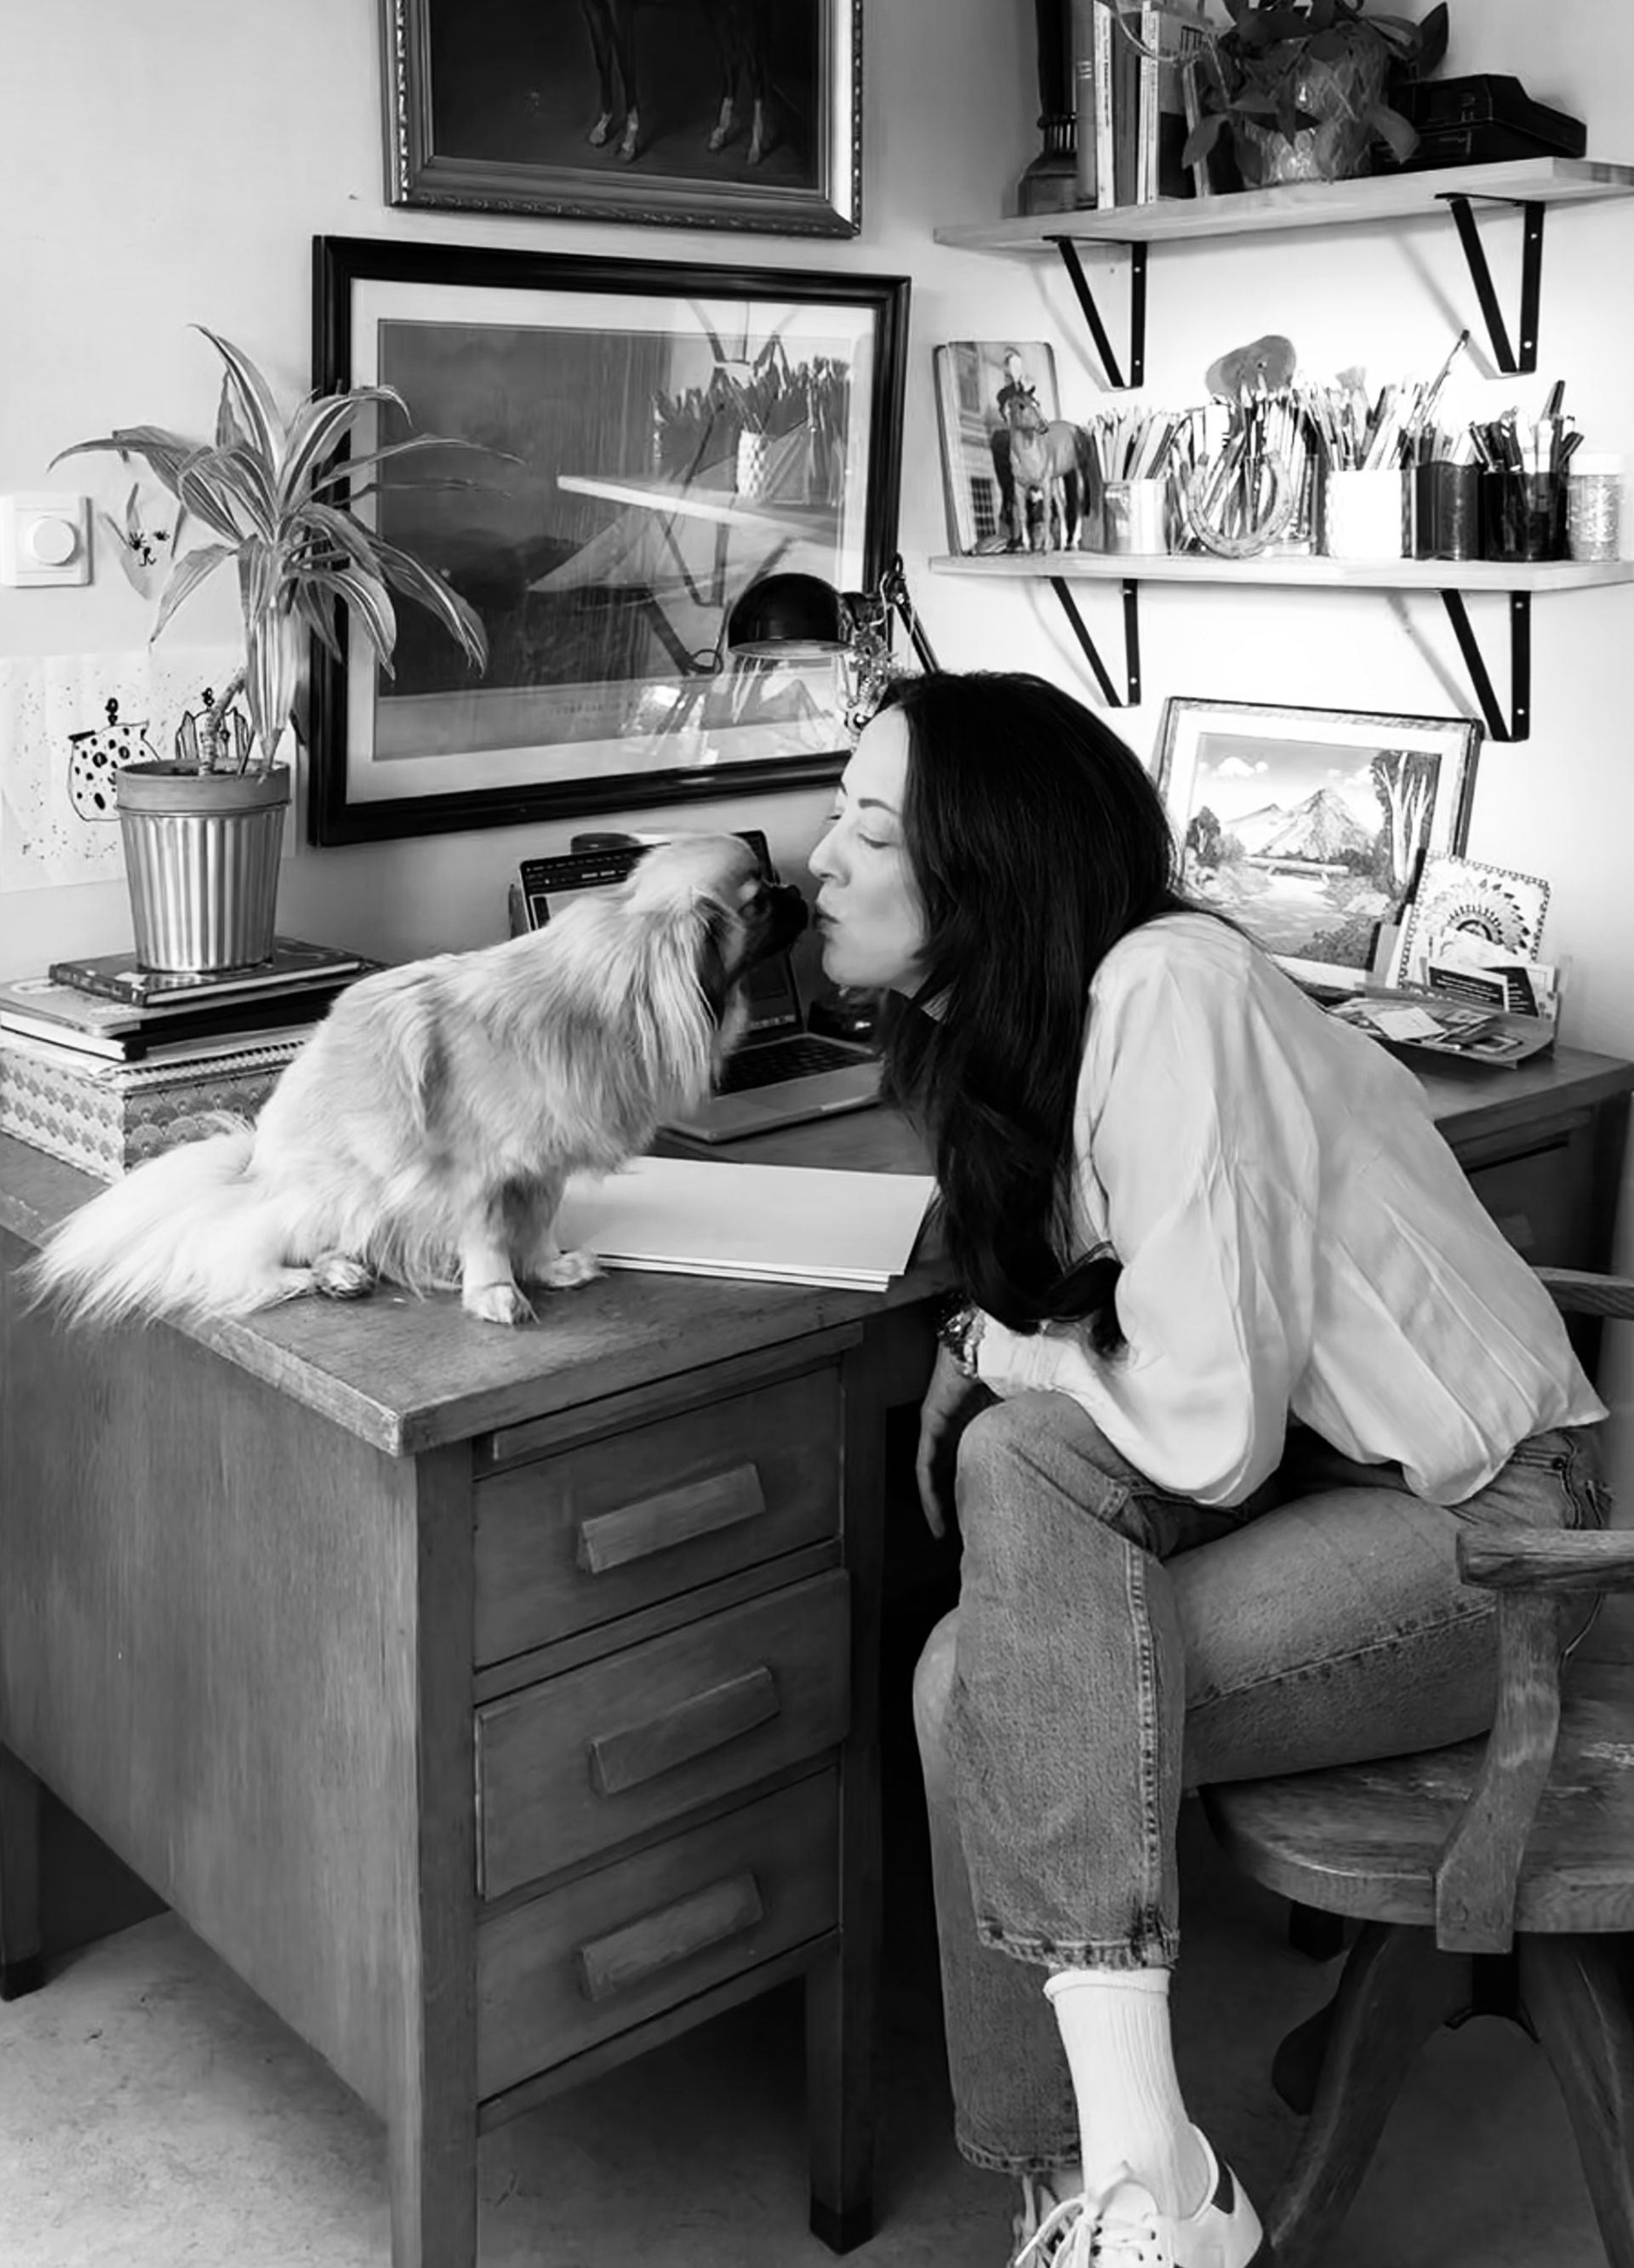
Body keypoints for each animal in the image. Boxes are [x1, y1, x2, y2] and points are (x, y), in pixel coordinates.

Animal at [26, 833, 806, 1330]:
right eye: (758, 901)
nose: (795, 887)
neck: (596, 1003)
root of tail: (253, 1164)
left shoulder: (541, 1170)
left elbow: (537, 1228)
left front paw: (548, 1268)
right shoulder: (481, 1178)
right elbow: (490, 1240)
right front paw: (496, 1294)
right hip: (330, 1193)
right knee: (245, 1252)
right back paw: (321, 1275)